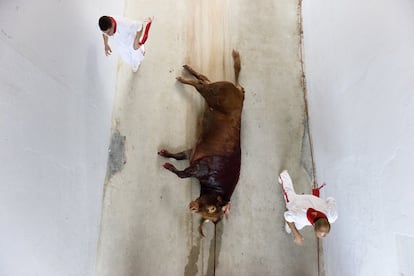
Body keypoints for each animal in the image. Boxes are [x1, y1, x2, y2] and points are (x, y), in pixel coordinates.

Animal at [158, 49, 243, 235]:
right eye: (212, 208)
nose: (192, 207)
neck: (216, 185)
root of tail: (241, 93)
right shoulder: (201, 167)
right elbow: (182, 173)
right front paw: (168, 165)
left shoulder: (193, 152)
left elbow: (179, 155)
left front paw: (164, 154)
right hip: (214, 92)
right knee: (201, 84)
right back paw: (183, 78)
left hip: (213, 92)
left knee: (204, 79)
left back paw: (187, 70)